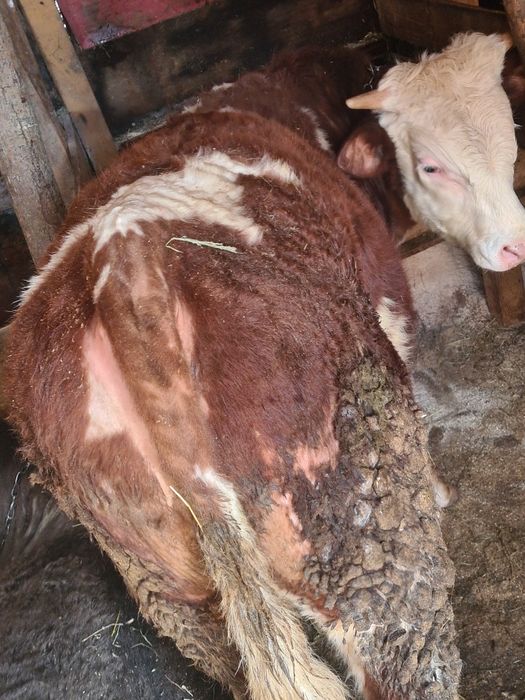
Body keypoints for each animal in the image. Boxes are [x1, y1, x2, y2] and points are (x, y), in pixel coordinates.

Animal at [2, 32, 520, 699]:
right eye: (432, 165)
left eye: (511, 134)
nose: (515, 243)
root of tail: (125, 270)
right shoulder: (390, 311)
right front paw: (438, 488)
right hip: (358, 521)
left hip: (172, 587)